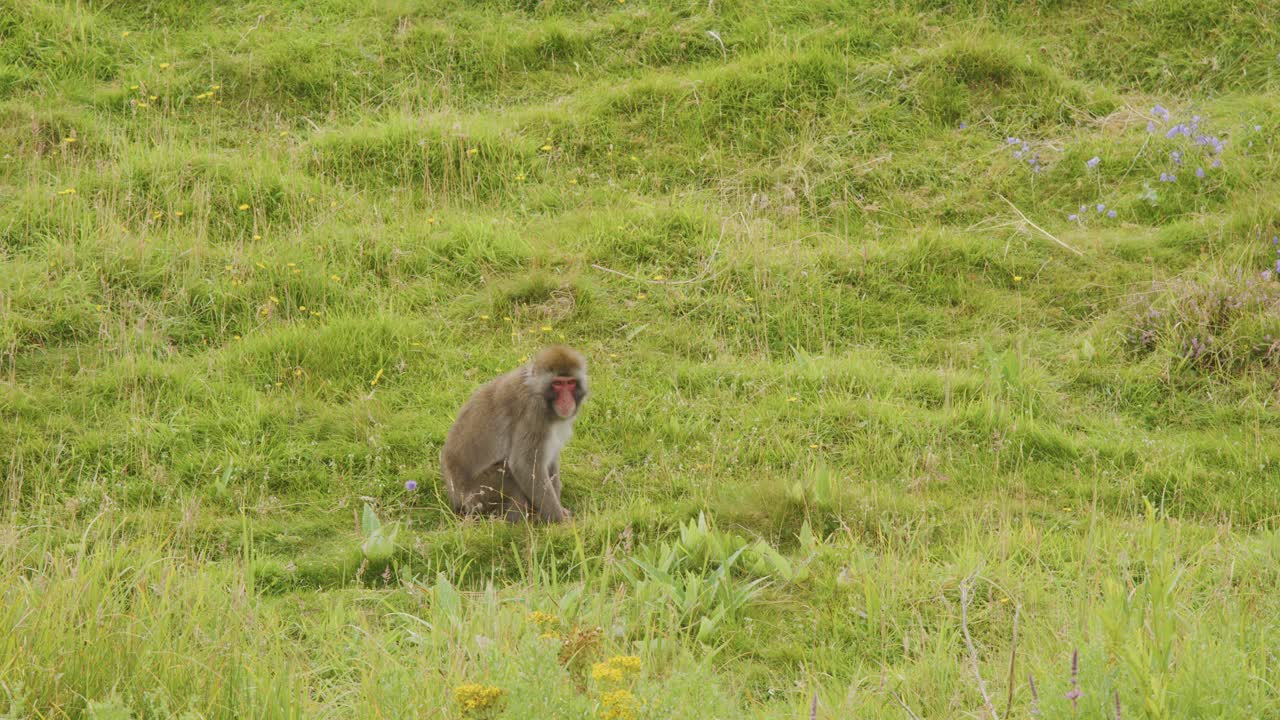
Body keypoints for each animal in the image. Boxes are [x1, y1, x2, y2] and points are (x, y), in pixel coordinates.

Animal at [440, 346, 588, 523]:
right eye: (558, 384)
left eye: (570, 383)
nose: (566, 400)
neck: (537, 390)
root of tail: (455, 499)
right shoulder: (533, 413)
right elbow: (524, 465)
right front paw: (560, 521)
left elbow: (550, 458)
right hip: (478, 495)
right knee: (510, 477)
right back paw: (519, 522)